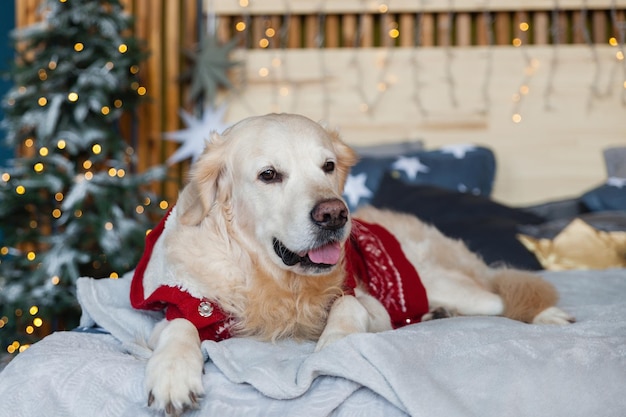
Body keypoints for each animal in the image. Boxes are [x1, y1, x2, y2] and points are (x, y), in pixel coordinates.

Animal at [130, 112, 572, 414]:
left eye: (327, 166)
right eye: (268, 175)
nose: (334, 214)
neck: (275, 280)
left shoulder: (371, 303)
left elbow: (347, 305)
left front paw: (337, 345)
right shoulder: (185, 304)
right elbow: (180, 327)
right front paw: (172, 374)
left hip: (446, 283)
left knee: (504, 297)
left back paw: (549, 316)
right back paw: (438, 315)